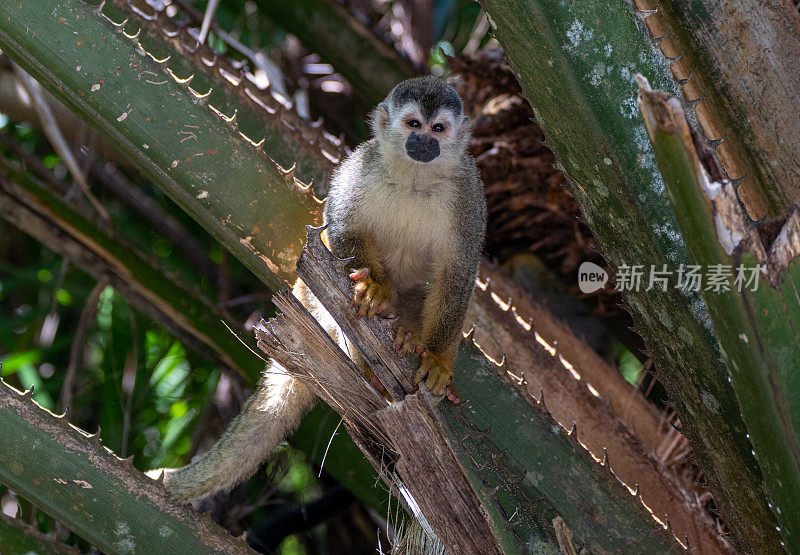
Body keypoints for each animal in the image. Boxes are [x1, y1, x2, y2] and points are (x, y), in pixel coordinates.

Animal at [159, 75, 488, 504]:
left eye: (439, 128)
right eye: (414, 124)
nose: (423, 142)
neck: (415, 178)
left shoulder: (468, 194)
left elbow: (457, 272)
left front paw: (434, 358)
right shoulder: (362, 168)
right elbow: (341, 230)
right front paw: (376, 287)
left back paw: (409, 339)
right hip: (312, 301)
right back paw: (370, 368)